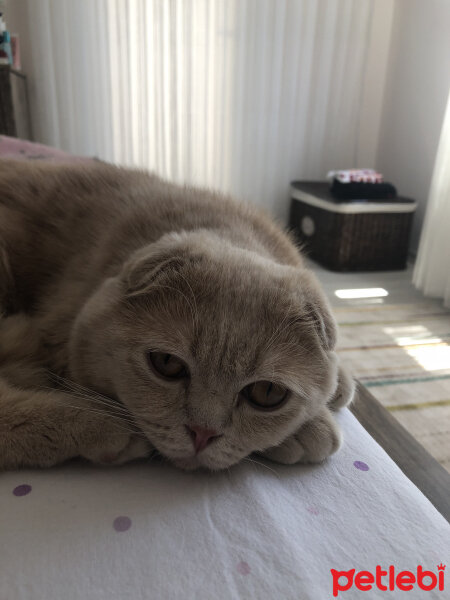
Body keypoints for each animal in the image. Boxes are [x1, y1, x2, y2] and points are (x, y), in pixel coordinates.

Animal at [0, 161, 354, 474]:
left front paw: (338, 387)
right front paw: (310, 429)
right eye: (167, 363)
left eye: (267, 393)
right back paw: (105, 426)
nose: (202, 433)